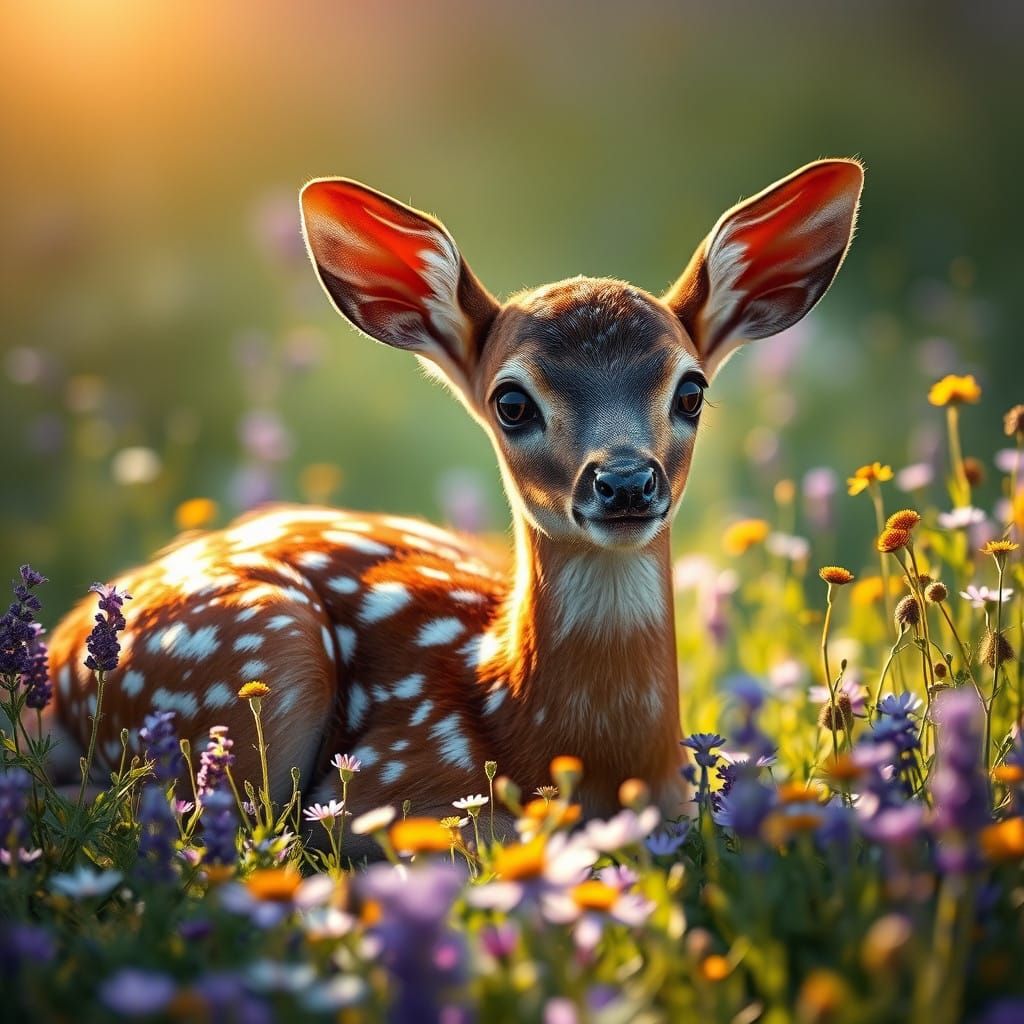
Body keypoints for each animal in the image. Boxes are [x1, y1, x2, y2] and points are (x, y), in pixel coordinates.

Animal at [44, 159, 863, 856]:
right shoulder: (388, 791)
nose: (626, 482)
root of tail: (58, 646)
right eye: (512, 402)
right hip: (257, 660)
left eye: (690, 391)